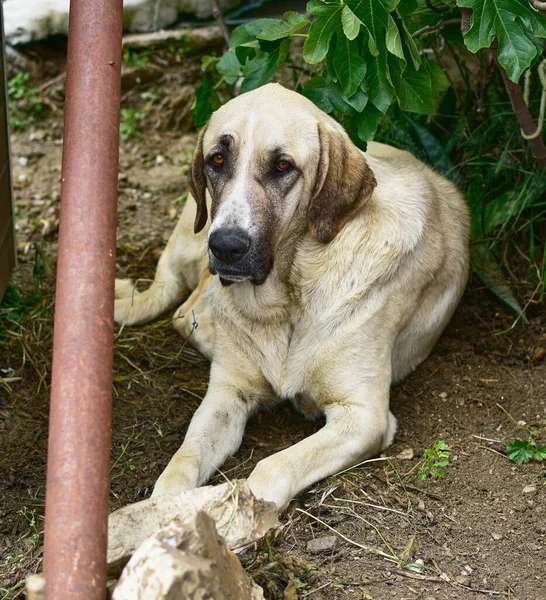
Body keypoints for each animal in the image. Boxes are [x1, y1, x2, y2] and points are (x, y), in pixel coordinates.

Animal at [113, 82, 468, 508]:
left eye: (283, 166)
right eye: (217, 159)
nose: (226, 246)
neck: (288, 296)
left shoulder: (364, 417)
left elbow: (272, 467)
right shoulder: (225, 397)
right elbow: (182, 463)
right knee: (187, 311)